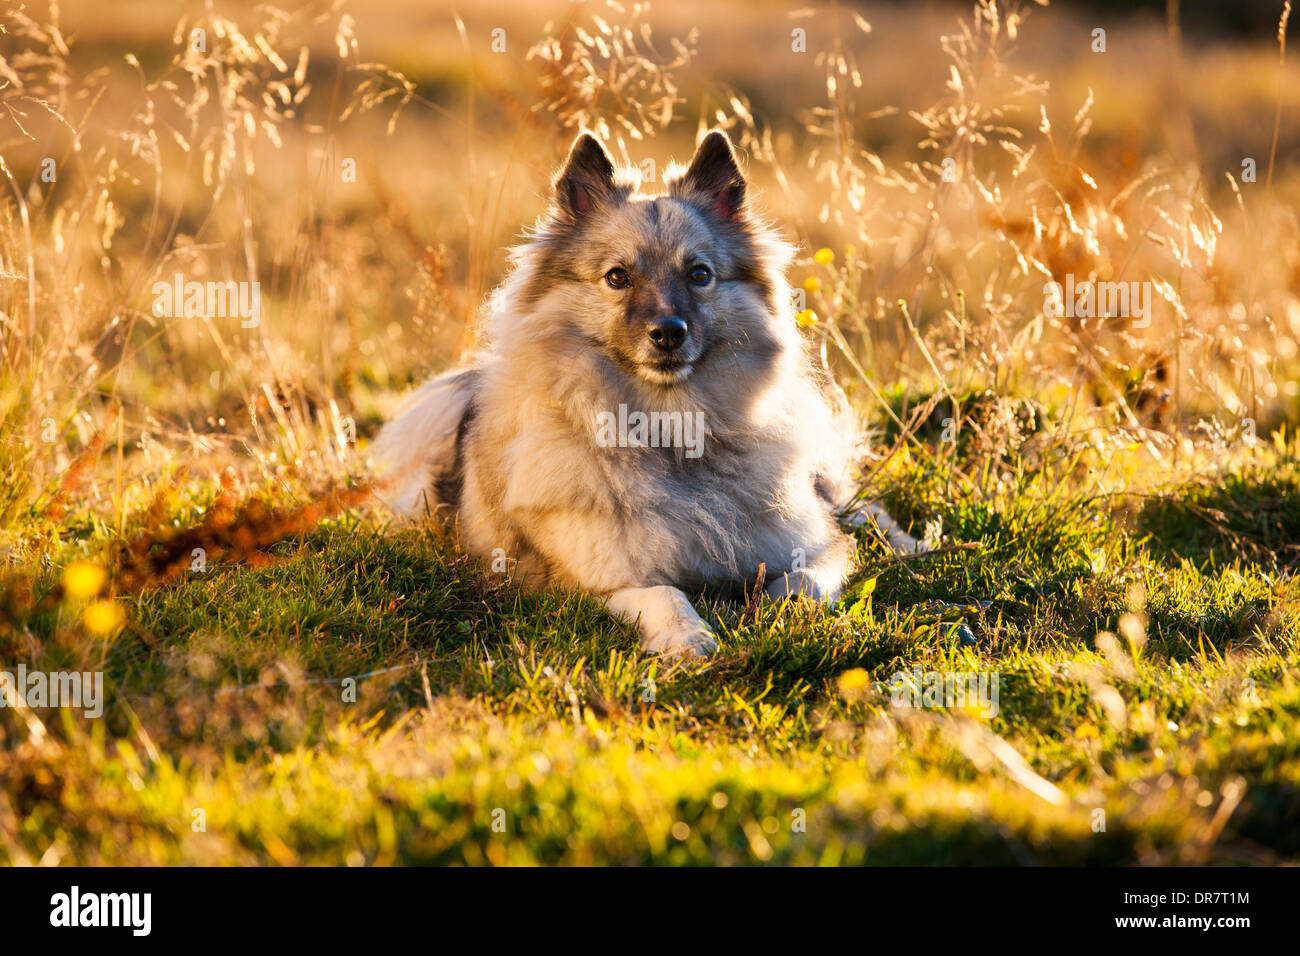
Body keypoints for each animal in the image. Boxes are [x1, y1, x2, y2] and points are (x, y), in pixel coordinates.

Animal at [366, 128, 915, 658]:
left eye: (699, 274)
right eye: (617, 277)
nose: (668, 332)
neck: (672, 432)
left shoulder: (820, 547)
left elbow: (806, 580)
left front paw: (776, 611)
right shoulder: (600, 582)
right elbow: (665, 594)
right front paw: (687, 638)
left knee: (865, 510)